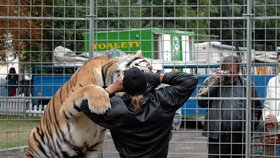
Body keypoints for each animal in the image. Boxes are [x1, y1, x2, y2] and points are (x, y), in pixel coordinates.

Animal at [24, 51, 153, 158]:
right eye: (148, 67)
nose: (153, 83)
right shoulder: (69, 101)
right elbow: (90, 87)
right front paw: (100, 104)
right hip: (34, 138)